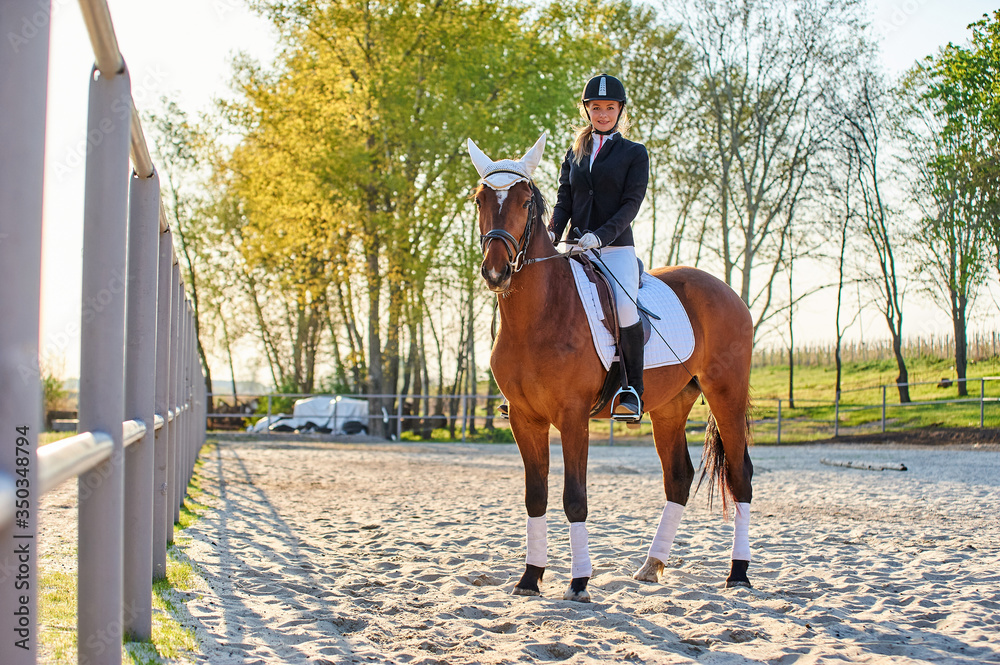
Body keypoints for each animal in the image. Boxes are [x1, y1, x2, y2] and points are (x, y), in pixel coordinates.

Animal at [468, 133, 755, 603]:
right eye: (480, 200)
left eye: (526, 201)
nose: (496, 272)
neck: (537, 316)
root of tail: (726, 290)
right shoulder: (525, 419)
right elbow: (535, 497)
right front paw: (530, 578)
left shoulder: (572, 418)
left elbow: (574, 498)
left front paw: (579, 582)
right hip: (671, 406)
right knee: (678, 478)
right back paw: (652, 566)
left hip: (725, 393)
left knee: (739, 474)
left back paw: (739, 573)